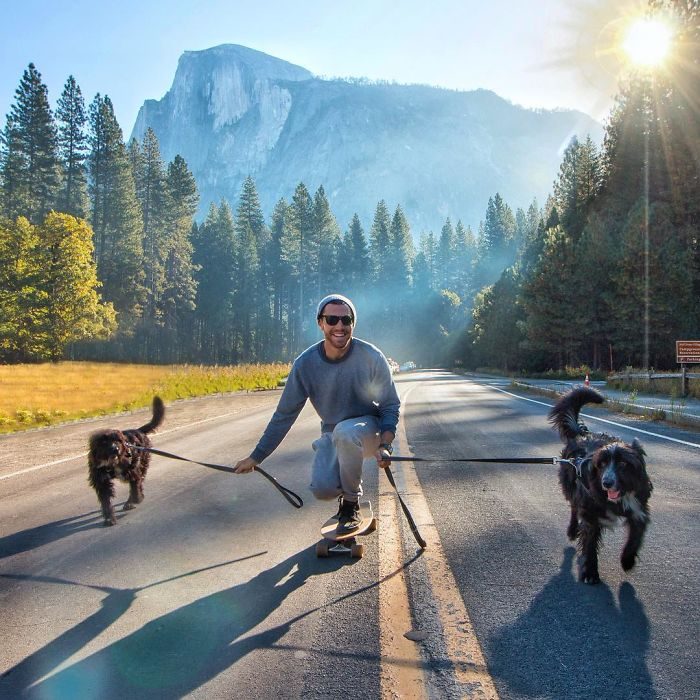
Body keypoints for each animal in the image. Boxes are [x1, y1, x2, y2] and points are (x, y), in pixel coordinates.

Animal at [548, 388, 652, 584]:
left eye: (623, 463)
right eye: (602, 464)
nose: (607, 482)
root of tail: (581, 435)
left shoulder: (638, 509)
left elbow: (635, 537)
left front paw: (627, 560)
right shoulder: (590, 515)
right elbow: (589, 543)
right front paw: (590, 572)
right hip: (571, 486)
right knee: (573, 506)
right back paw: (572, 530)